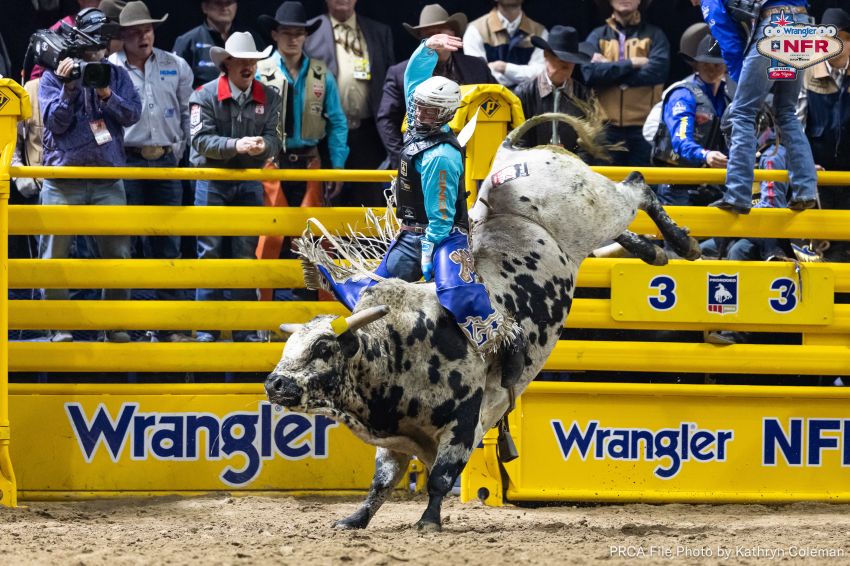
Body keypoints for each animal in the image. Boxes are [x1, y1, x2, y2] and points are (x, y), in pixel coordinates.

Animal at [265, 112, 700, 532]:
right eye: (290, 347)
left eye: (323, 348)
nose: (275, 383)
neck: (398, 345)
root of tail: (512, 152)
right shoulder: (396, 435)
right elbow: (382, 481)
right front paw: (355, 519)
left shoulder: (464, 421)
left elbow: (440, 476)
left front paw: (428, 522)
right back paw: (654, 252)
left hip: (597, 207)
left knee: (636, 186)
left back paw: (683, 242)